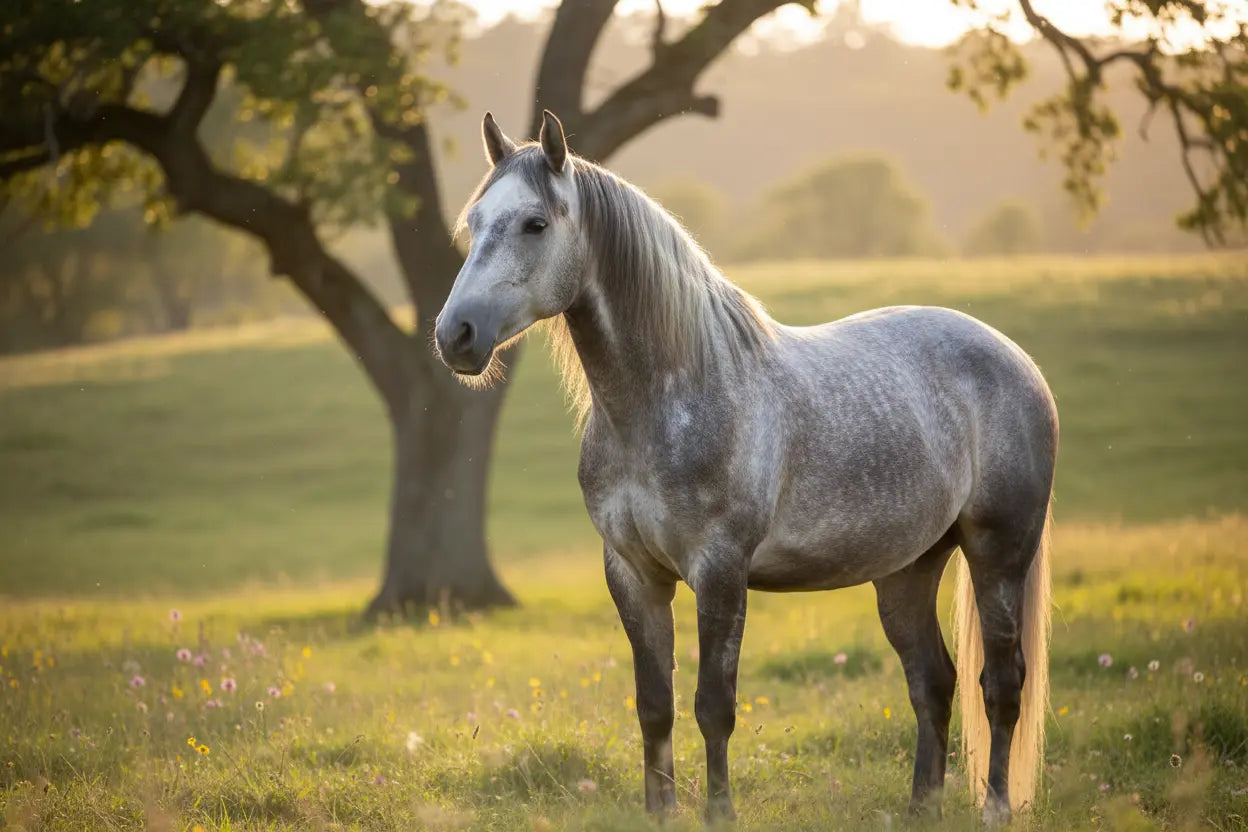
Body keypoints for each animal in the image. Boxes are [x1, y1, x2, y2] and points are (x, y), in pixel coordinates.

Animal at [434, 110, 1057, 824]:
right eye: (475, 221)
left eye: (535, 223)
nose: (455, 335)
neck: (667, 399)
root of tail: (1017, 360)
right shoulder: (633, 574)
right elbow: (654, 707)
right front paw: (660, 813)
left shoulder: (721, 571)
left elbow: (714, 706)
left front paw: (719, 814)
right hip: (908, 569)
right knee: (933, 682)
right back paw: (920, 810)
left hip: (998, 553)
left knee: (1001, 683)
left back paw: (997, 809)